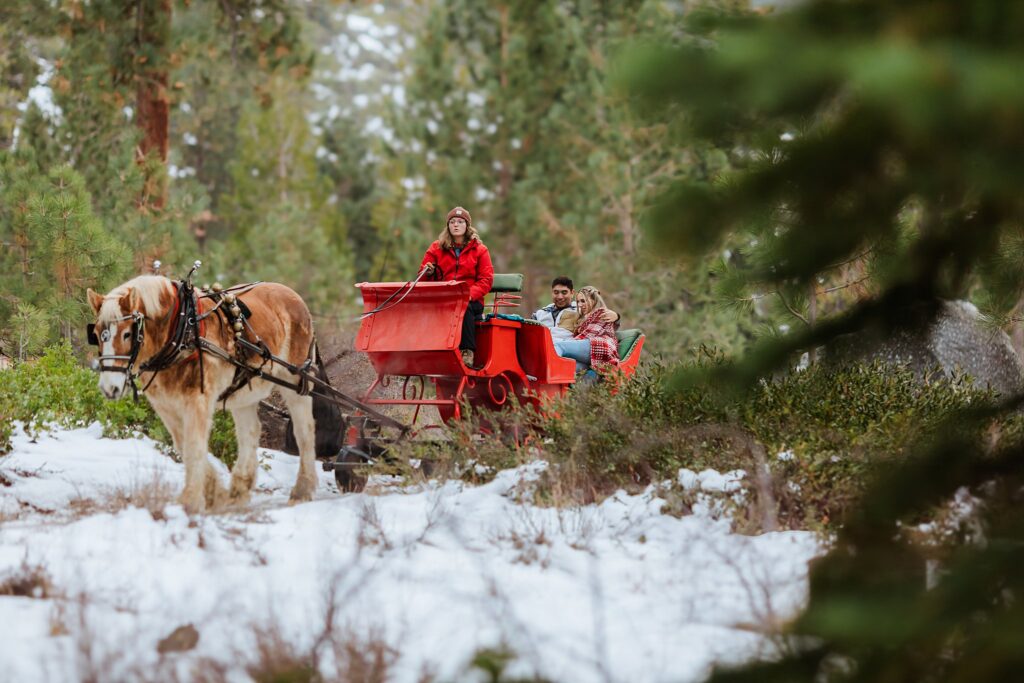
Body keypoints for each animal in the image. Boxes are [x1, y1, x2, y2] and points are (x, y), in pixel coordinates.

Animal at [87, 275, 320, 513]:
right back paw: (239, 491)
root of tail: (294, 296)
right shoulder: (164, 404)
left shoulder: (199, 399)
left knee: (304, 430)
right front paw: (215, 494)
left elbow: (194, 445)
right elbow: (182, 444)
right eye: (95, 335)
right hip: (244, 391)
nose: (109, 388)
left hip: (295, 381)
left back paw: (302, 490)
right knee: (250, 432)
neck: (181, 329)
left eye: (127, 334)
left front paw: (190, 499)